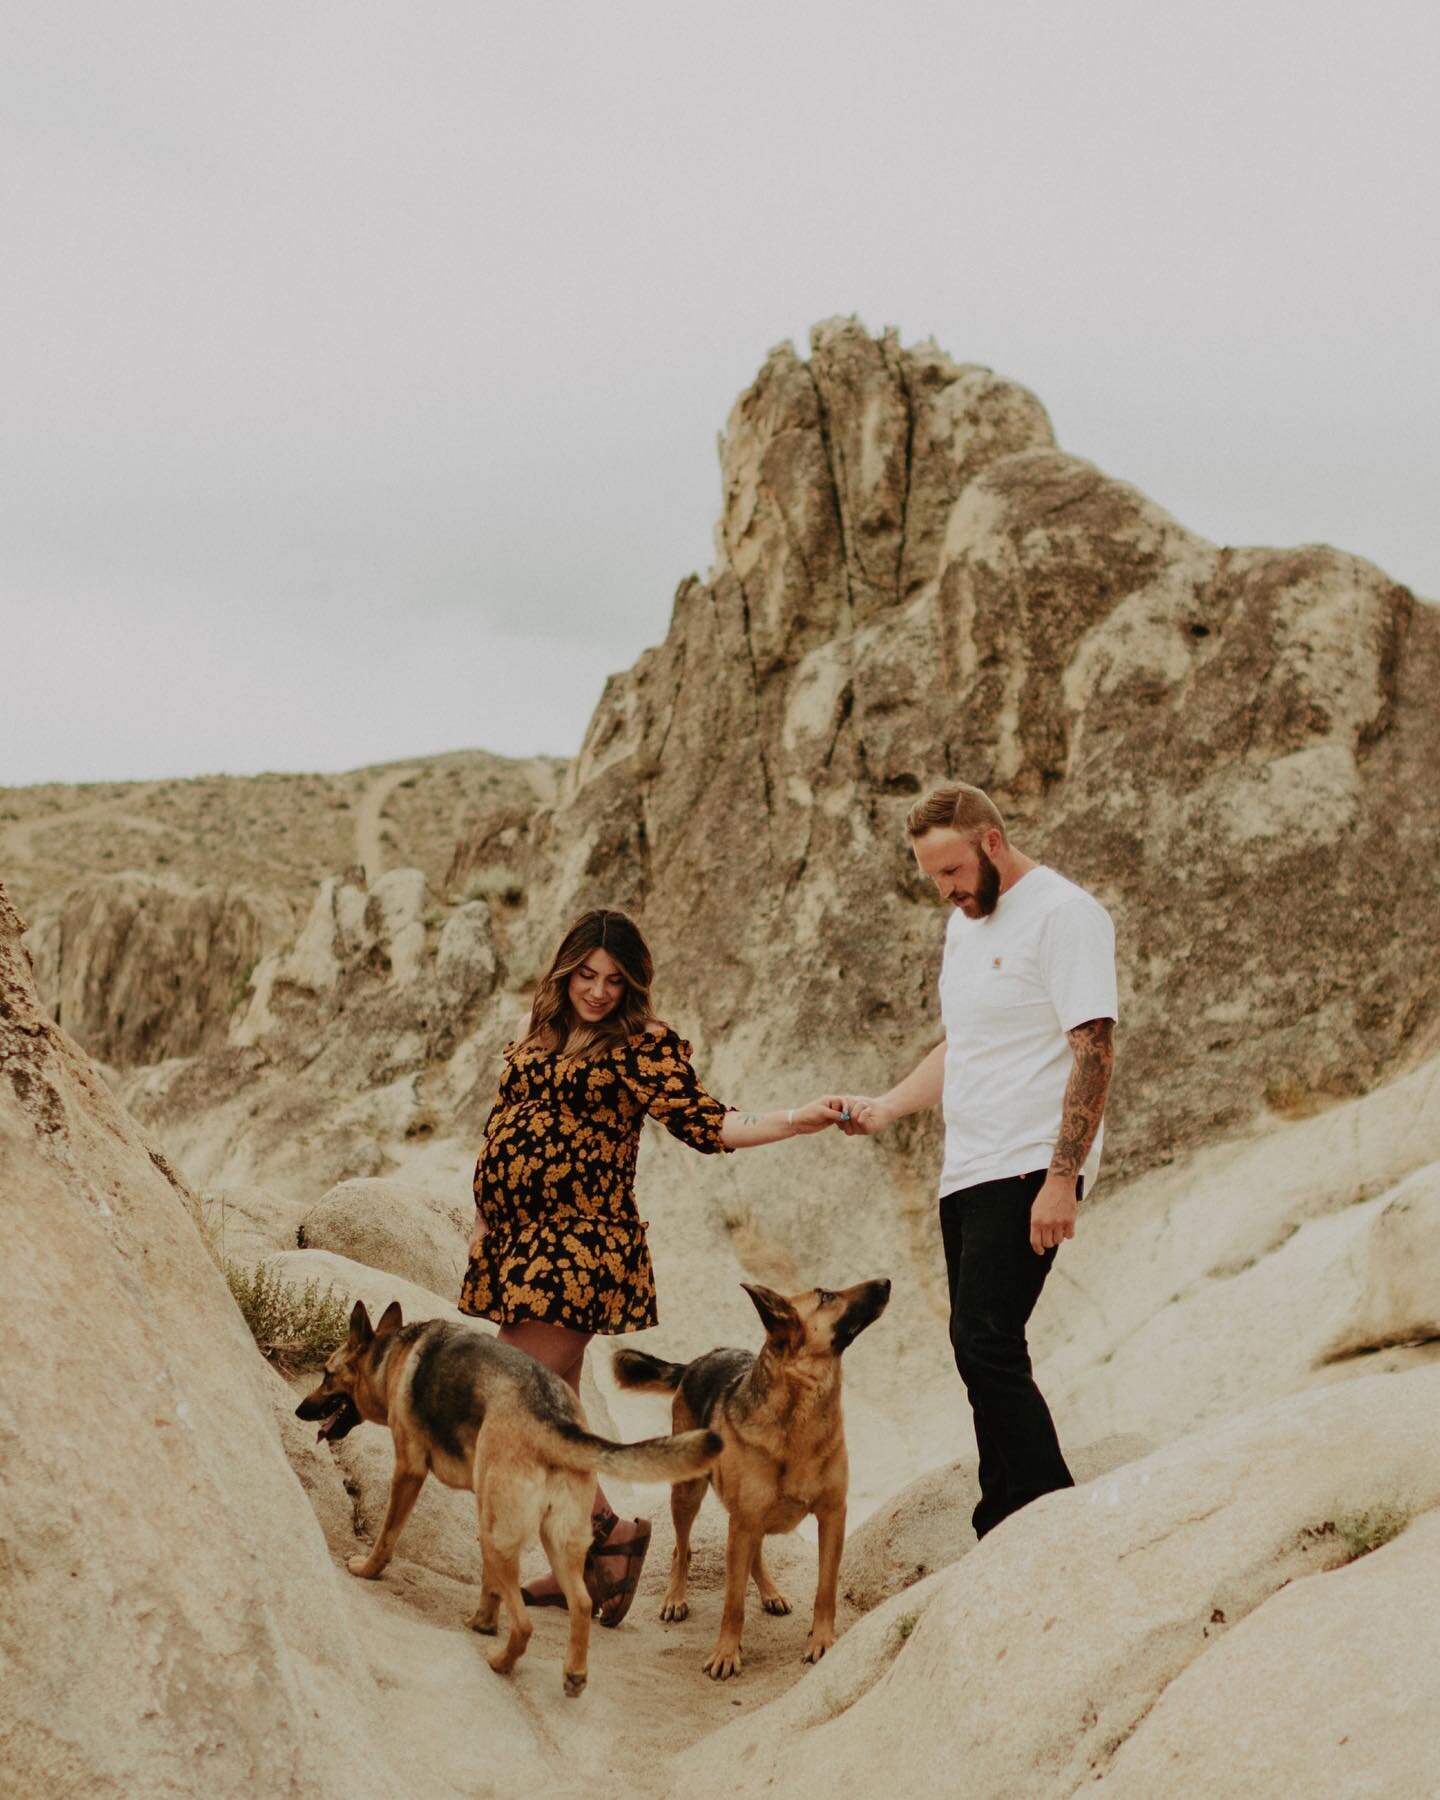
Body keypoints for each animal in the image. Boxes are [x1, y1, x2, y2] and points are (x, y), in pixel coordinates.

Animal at [295, 1303, 720, 1692]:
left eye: (327, 1375)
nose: (300, 1410)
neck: (390, 1356)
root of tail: (554, 1421)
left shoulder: (409, 1471)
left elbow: (387, 1535)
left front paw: (368, 1568)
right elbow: (489, 1582)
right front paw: (484, 1619)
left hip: (498, 1533)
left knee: (526, 1624)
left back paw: (501, 1660)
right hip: (545, 1538)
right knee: (581, 1604)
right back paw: (571, 1671)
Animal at [615, 1274, 892, 1677]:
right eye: (826, 1296)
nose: (886, 1281)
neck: (801, 1414)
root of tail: (699, 1360)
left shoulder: (831, 1515)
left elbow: (825, 1589)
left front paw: (822, 1640)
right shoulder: (744, 1521)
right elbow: (733, 1603)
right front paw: (727, 1652)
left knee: (754, 1553)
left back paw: (770, 1591)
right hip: (689, 1494)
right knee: (682, 1549)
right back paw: (675, 1597)